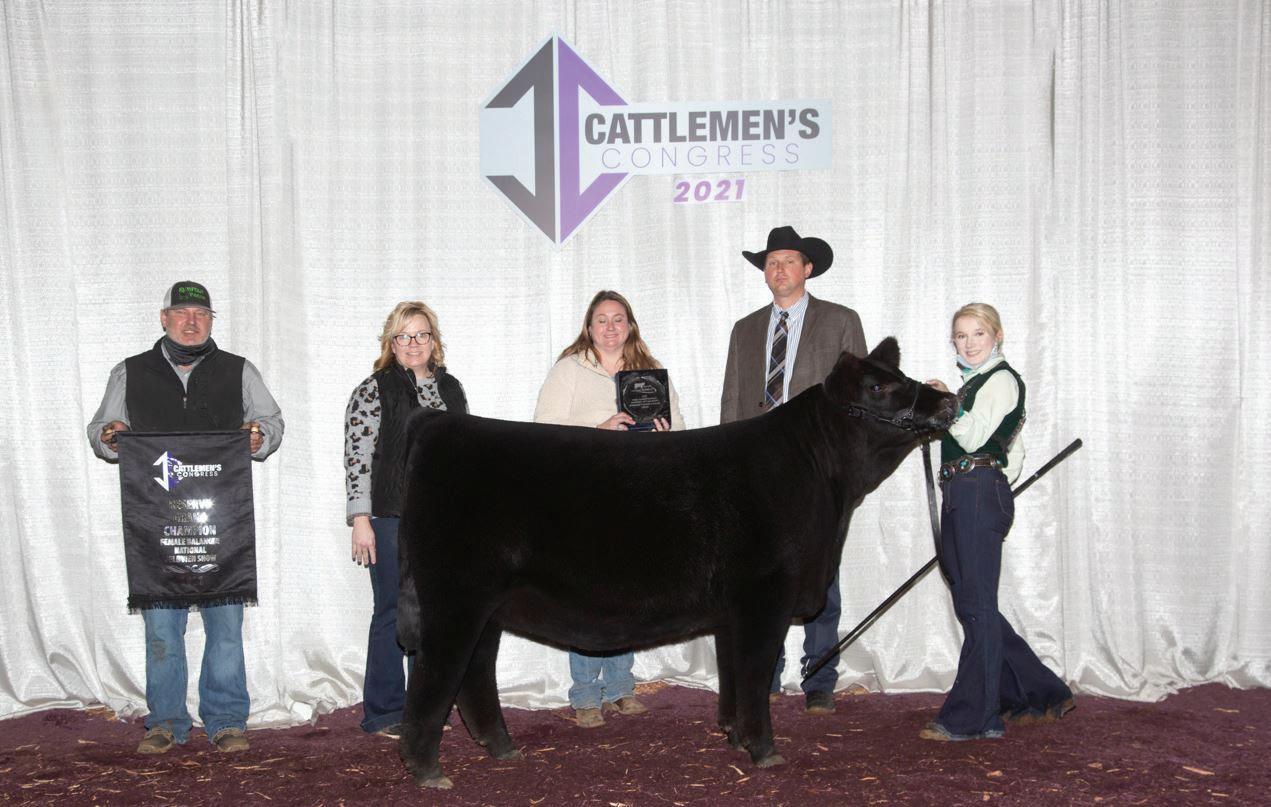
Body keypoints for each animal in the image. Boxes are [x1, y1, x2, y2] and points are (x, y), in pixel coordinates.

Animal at [395, 338, 956, 788]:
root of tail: (438, 423)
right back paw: (426, 770)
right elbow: (756, 673)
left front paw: (733, 735)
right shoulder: (765, 597)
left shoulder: (734, 609)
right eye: (878, 388)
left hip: (489, 605)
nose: (949, 399)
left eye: (903, 376)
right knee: (435, 674)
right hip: (455, 597)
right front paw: (764, 750)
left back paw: (500, 747)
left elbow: (733, 671)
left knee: (475, 671)